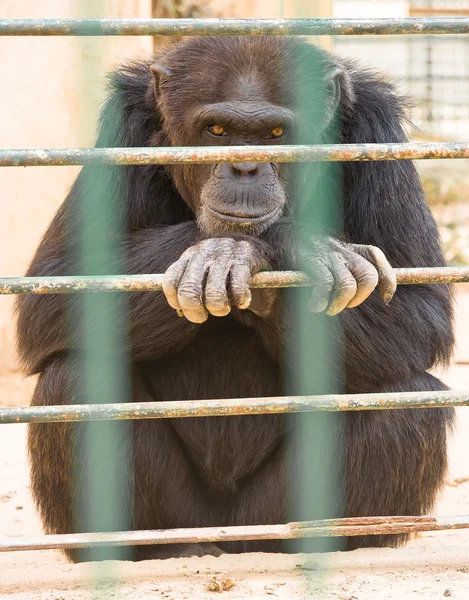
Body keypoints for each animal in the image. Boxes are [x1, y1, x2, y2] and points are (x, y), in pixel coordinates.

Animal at [16, 36, 452, 564]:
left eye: (276, 133)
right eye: (218, 130)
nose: (245, 166)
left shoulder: (377, 131)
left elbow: (421, 310)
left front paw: (283, 244)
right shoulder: (124, 126)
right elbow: (55, 287)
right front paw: (231, 248)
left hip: (266, 516)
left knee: (405, 394)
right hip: (185, 517)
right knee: (77, 380)